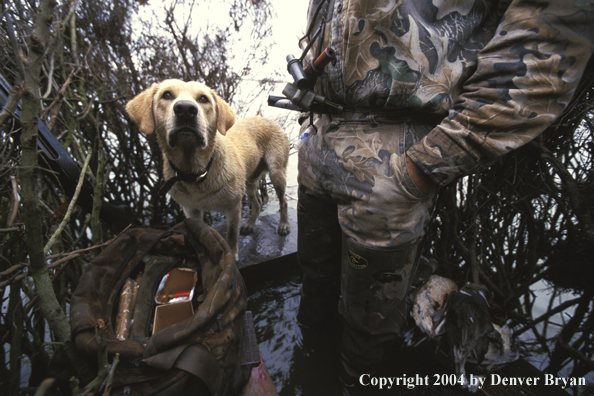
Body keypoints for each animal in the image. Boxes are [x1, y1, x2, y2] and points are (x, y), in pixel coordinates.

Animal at [126, 79, 290, 260]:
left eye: (203, 98)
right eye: (166, 95)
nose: (185, 109)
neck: (198, 172)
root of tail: (269, 120)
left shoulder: (234, 208)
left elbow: (231, 236)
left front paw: (231, 257)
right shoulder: (191, 211)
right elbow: (200, 233)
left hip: (276, 173)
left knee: (283, 201)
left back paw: (284, 225)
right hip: (250, 181)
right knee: (258, 202)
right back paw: (250, 224)